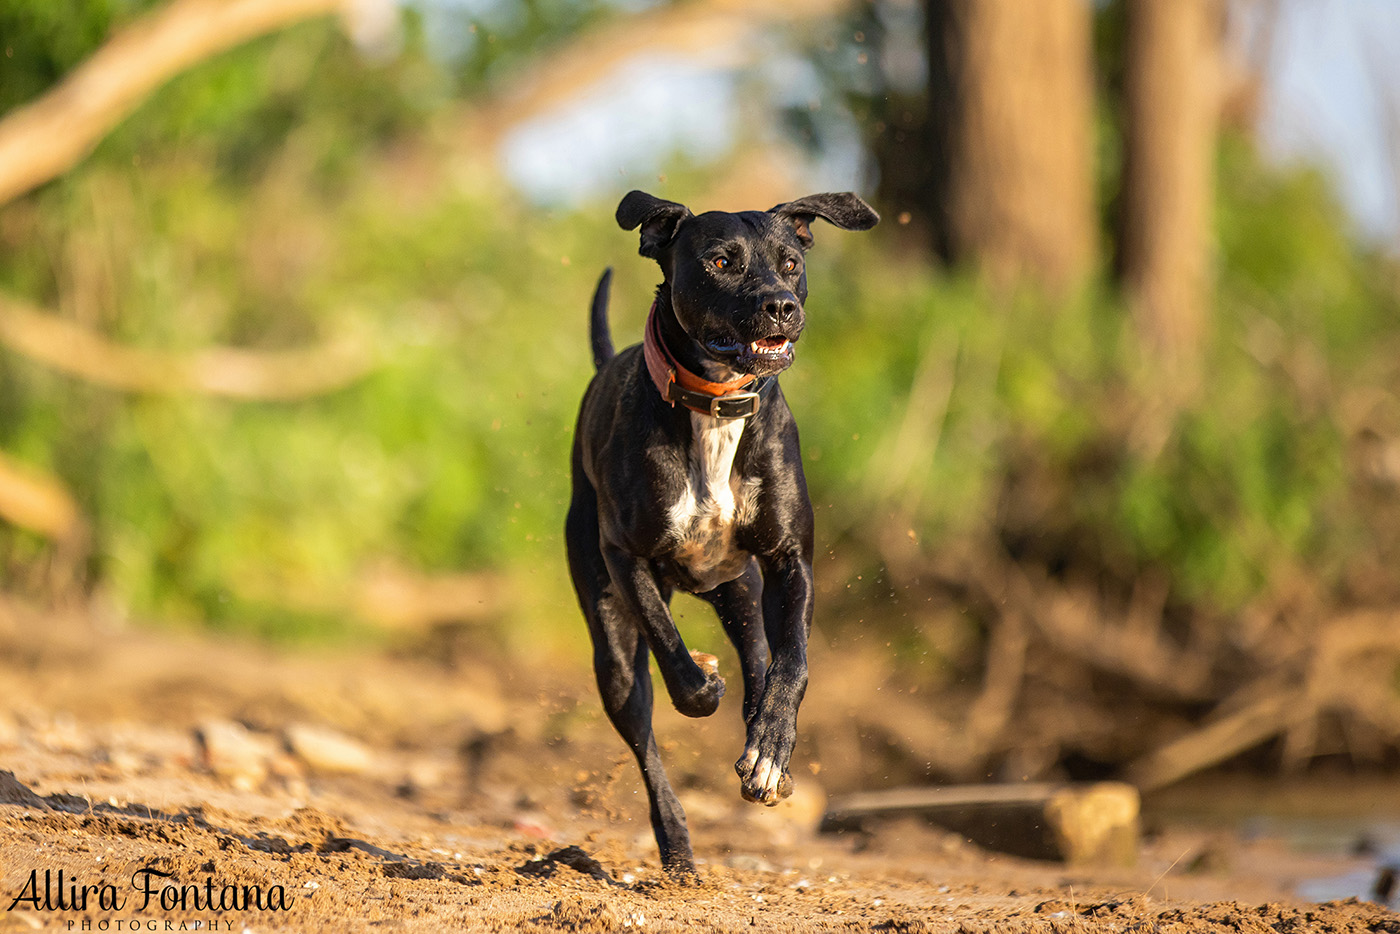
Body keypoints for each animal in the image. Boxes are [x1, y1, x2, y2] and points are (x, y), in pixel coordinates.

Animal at [565, 190, 873, 879]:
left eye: (790, 262)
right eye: (721, 262)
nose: (781, 305)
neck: (714, 405)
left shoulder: (789, 561)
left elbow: (793, 663)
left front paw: (772, 746)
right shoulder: (626, 557)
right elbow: (667, 646)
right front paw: (702, 684)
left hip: (741, 590)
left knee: (760, 654)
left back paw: (765, 747)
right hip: (610, 649)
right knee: (644, 733)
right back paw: (677, 848)